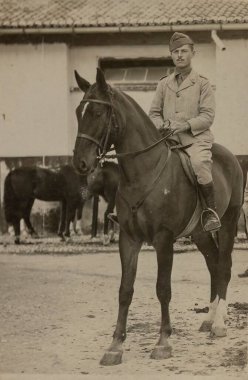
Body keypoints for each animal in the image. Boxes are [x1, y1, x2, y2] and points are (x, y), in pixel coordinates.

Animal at [72, 69, 243, 366]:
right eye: (78, 112)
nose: (80, 162)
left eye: (97, 112)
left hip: (228, 224)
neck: (143, 172)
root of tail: (230, 157)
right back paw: (209, 319)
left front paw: (163, 342)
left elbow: (163, 288)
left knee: (223, 266)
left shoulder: (164, 240)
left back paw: (220, 323)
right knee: (213, 265)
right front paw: (115, 346)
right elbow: (125, 290)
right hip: (199, 233)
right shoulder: (128, 239)